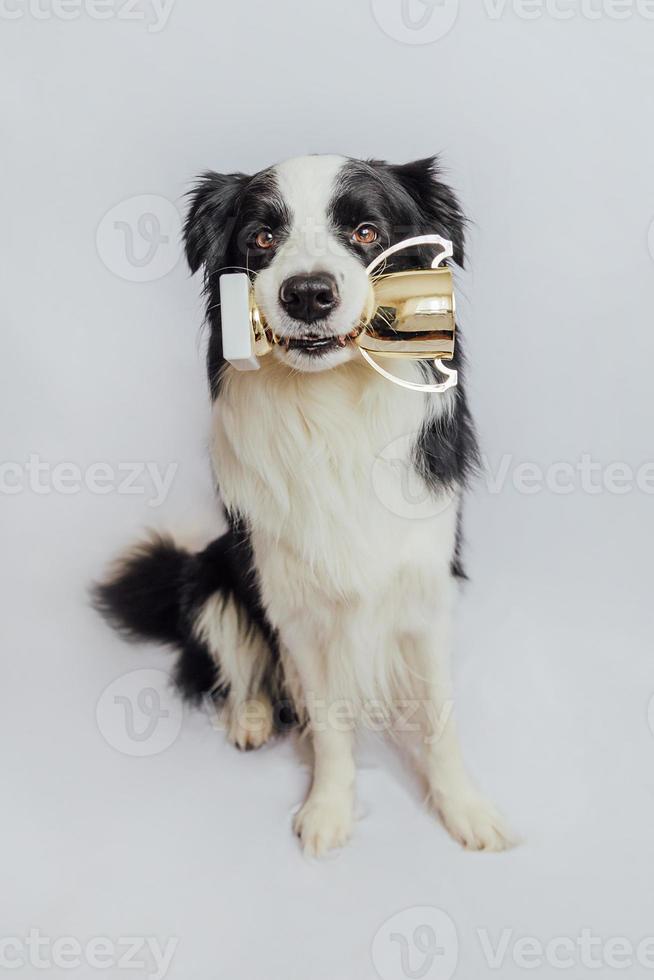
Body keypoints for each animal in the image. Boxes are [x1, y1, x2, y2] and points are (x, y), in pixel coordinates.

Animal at [97, 153, 516, 856]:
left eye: (368, 232)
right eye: (262, 237)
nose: (309, 293)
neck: (332, 409)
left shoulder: (426, 591)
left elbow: (438, 718)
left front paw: (465, 810)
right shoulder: (296, 607)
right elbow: (329, 720)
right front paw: (328, 811)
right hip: (211, 575)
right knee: (233, 664)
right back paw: (252, 718)